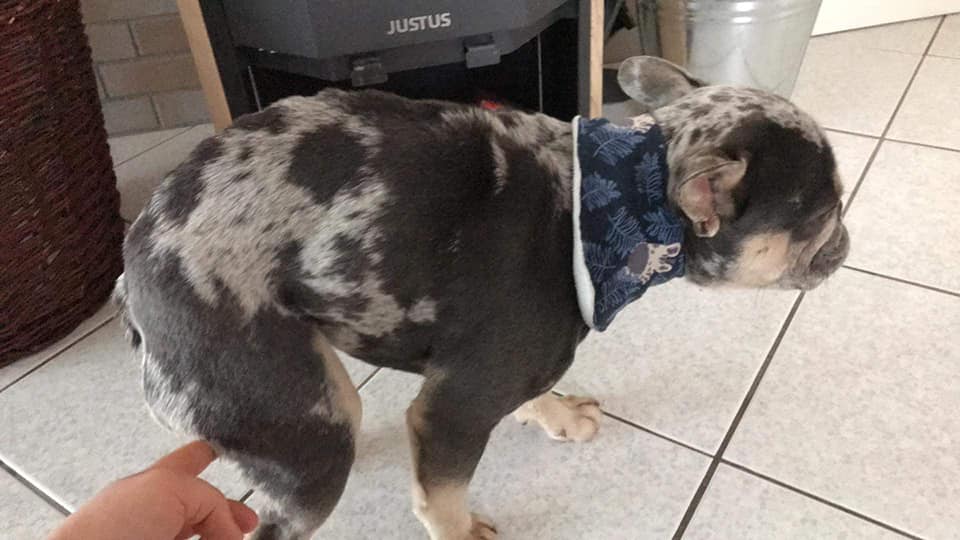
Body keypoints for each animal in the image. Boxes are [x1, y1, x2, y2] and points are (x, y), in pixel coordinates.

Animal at [116, 56, 849, 539]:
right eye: (822, 213)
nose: (848, 237)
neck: (606, 200)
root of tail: (134, 270)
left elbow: (534, 391)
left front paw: (556, 414)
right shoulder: (453, 413)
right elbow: (442, 496)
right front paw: (462, 529)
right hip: (307, 435)